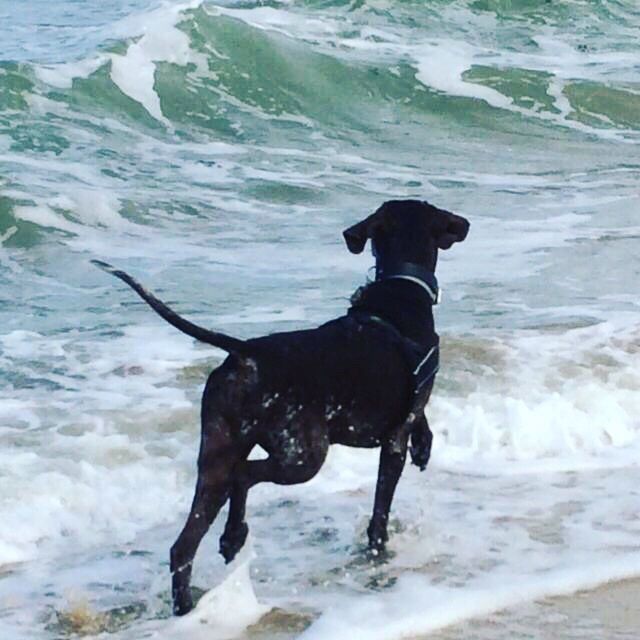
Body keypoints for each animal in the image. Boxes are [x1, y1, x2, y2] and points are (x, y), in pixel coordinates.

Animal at [91, 200, 470, 616]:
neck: (401, 290)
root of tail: (246, 352)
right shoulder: (394, 439)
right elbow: (380, 510)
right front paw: (378, 548)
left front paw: (426, 444)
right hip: (303, 454)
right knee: (243, 477)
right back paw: (233, 536)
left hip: (217, 457)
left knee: (185, 545)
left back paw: (192, 600)